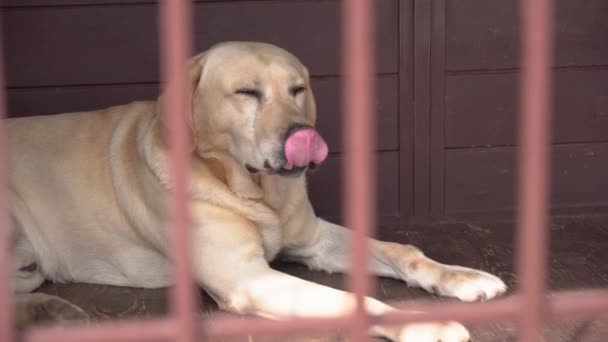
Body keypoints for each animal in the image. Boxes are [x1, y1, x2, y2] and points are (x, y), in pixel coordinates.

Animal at [7, 41, 506, 340]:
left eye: (298, 89)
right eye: (247, 93)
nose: (305, 136)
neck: (256, 194)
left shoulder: (315, 239)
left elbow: (402, 250)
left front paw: (459, 276)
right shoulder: (246, 278)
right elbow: (353, 299)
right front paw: (429, 324)